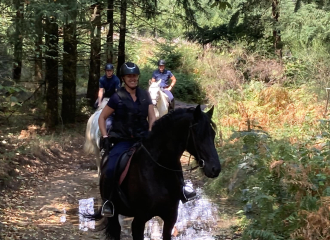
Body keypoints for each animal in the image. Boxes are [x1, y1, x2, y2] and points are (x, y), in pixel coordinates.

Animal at [93, 106, 222, 240]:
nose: (215, 169)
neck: (158, 171)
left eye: (213, 134)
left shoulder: (170, 218)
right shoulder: (139, 220)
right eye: (198, 134)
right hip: (113, 214)